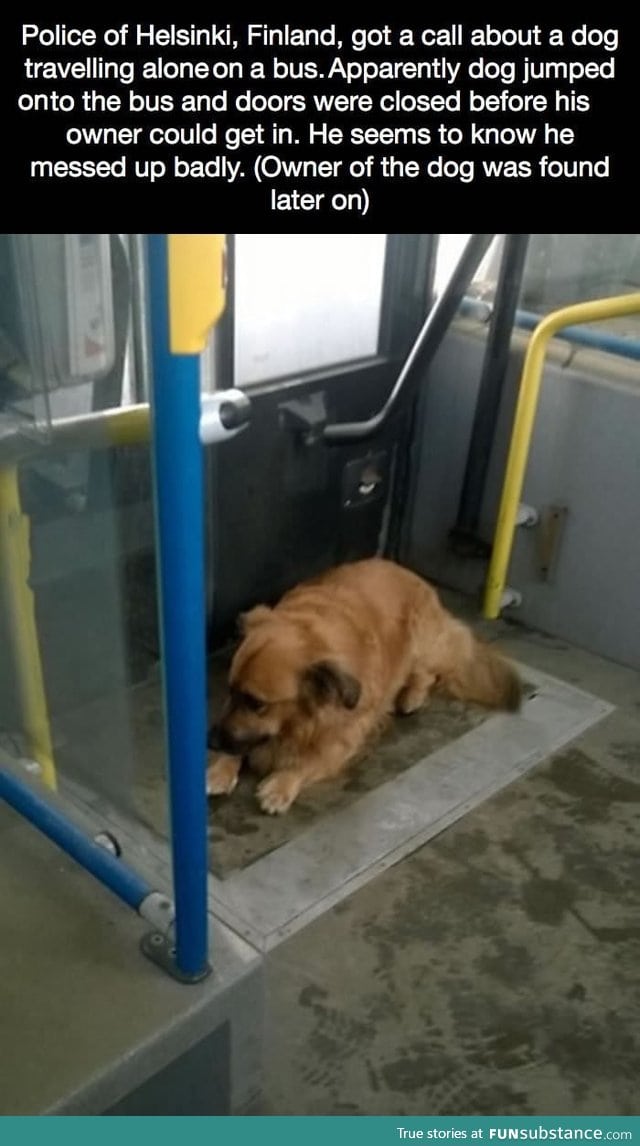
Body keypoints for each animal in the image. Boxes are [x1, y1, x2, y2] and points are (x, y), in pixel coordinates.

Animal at [208, 556, 525, 815]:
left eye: (256, 703)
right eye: (230, 690)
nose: (210, 741)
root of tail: (411, 574)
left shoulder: (345, 736)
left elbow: (309, 761)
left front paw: (281, 785)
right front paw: (220, 768)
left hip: (422, 642)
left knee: (427, 674)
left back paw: (411, 697)